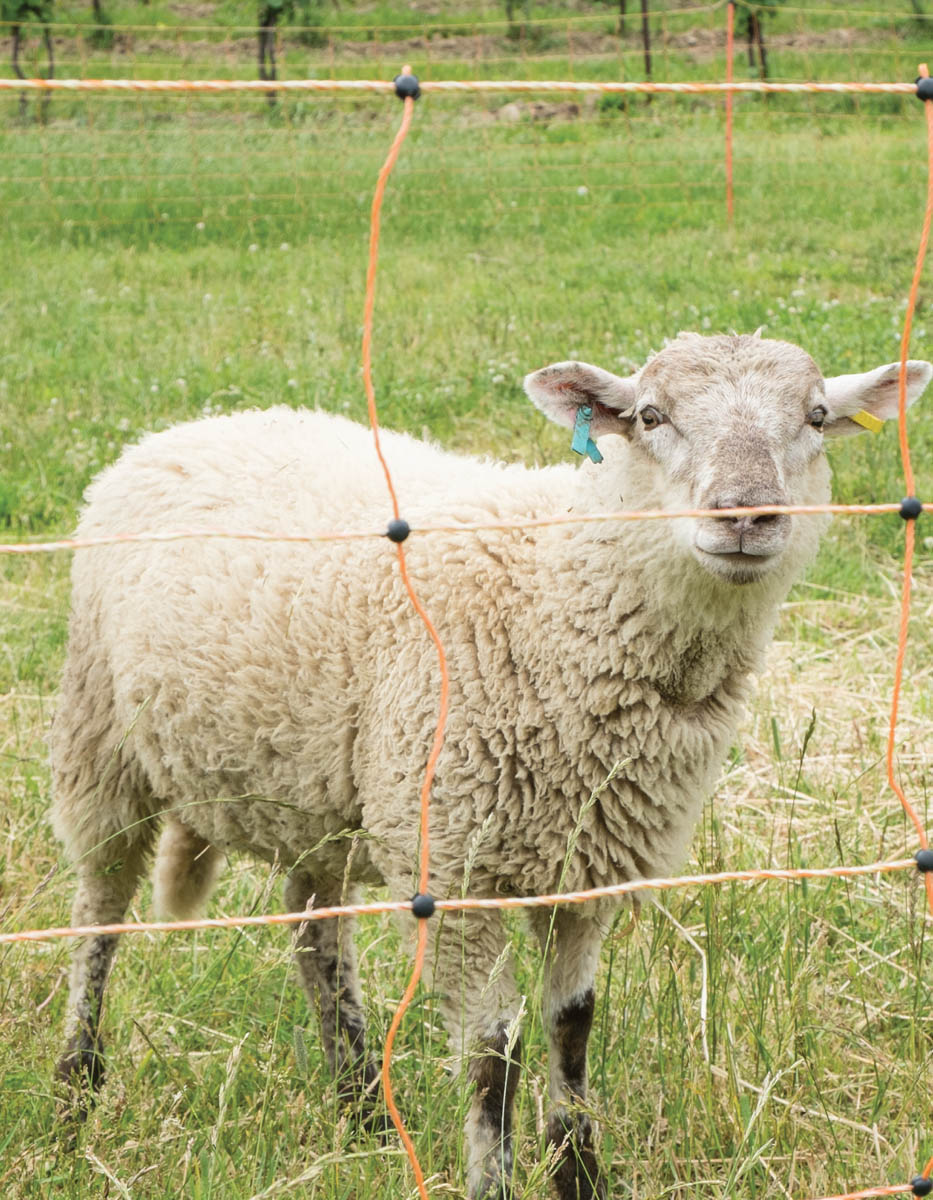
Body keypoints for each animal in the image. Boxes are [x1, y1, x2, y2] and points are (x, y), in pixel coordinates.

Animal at [52, 331, 930, 1200]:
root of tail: (198, 424)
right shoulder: (455, 868)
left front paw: (578, 1175)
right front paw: (494, 1180)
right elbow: (491, 1053)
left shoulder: (589, 867)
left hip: (318, 796)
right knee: (99, 916)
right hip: (100, 747)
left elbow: (571, 1027)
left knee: (315, 936)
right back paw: (73, 1100)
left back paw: (363, 1114)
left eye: (814, 418)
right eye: (650, 415)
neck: (559, 584)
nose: (745, 513)